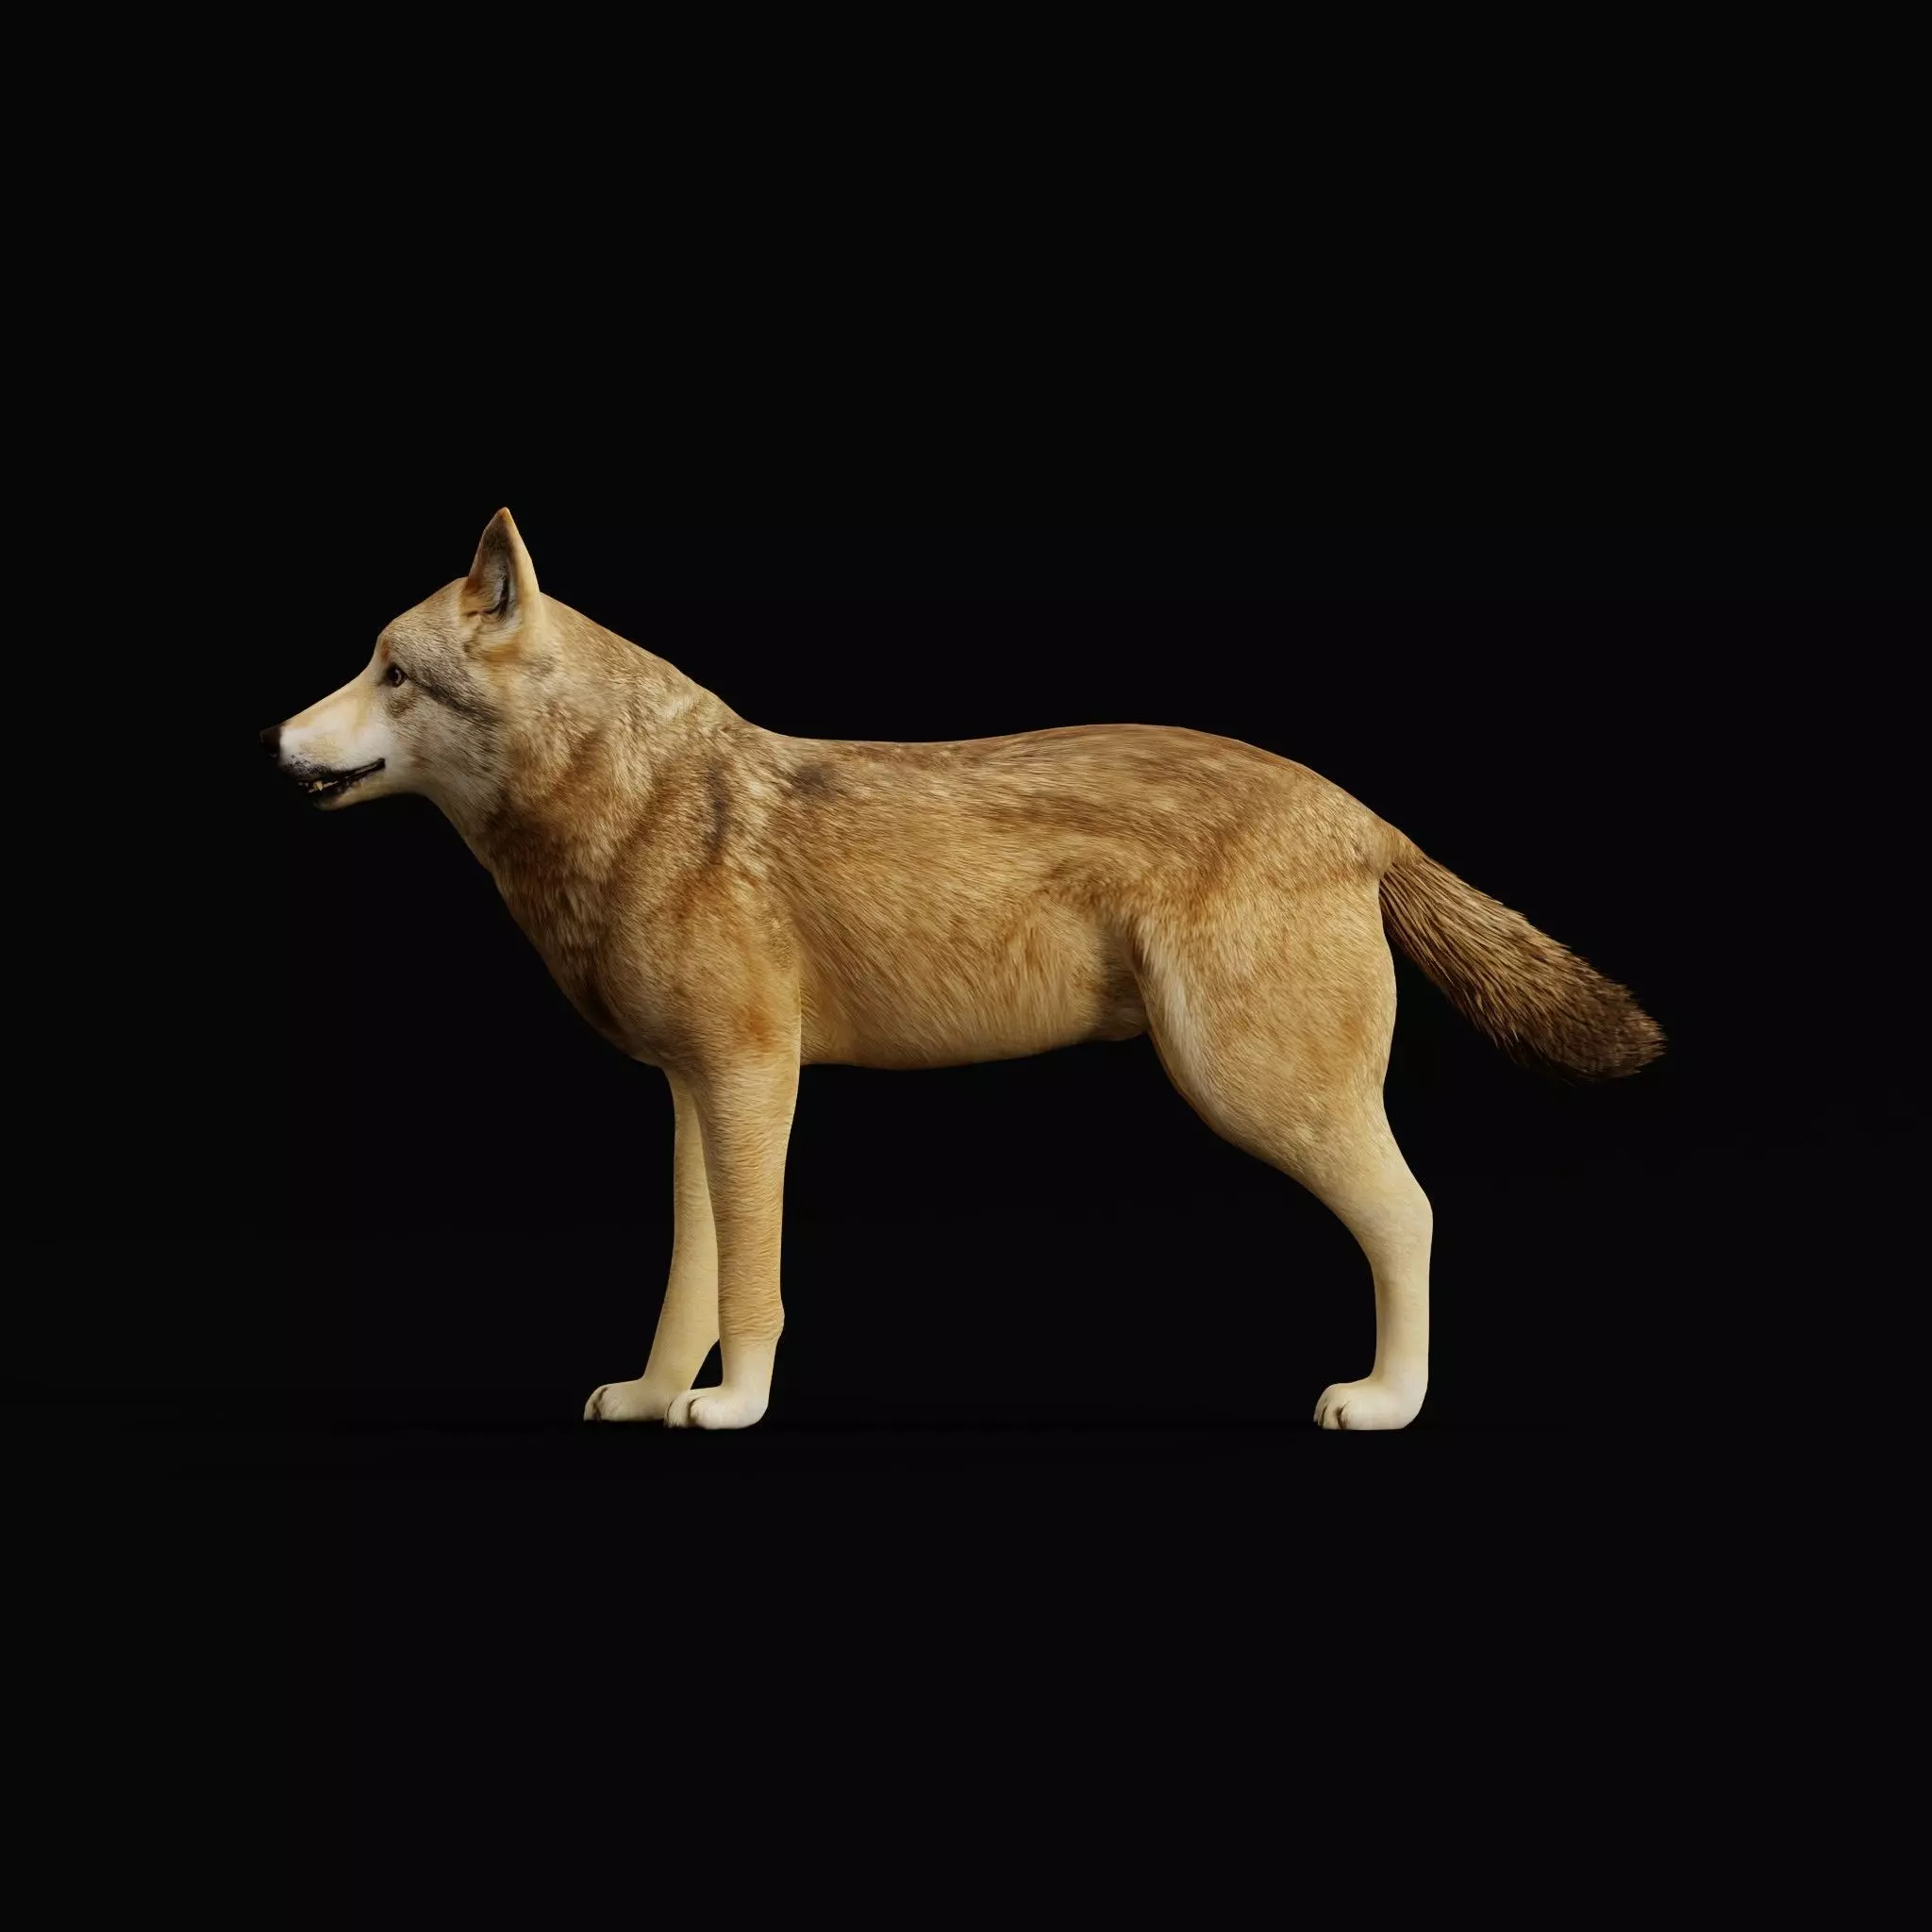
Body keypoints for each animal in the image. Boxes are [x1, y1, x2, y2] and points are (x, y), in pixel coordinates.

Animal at [263, 510, 1663, 1430]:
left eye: (394, 672)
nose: (275, 740)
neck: (634, 807)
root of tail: (1362, 813)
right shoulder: (692, 1092)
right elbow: (690, 1276)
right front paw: (660, 1394)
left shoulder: (758, 1084)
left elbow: (754, 1284)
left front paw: (735, 1405)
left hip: (1256, 1094)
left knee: (1410, 1213)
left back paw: (1387, 1401)